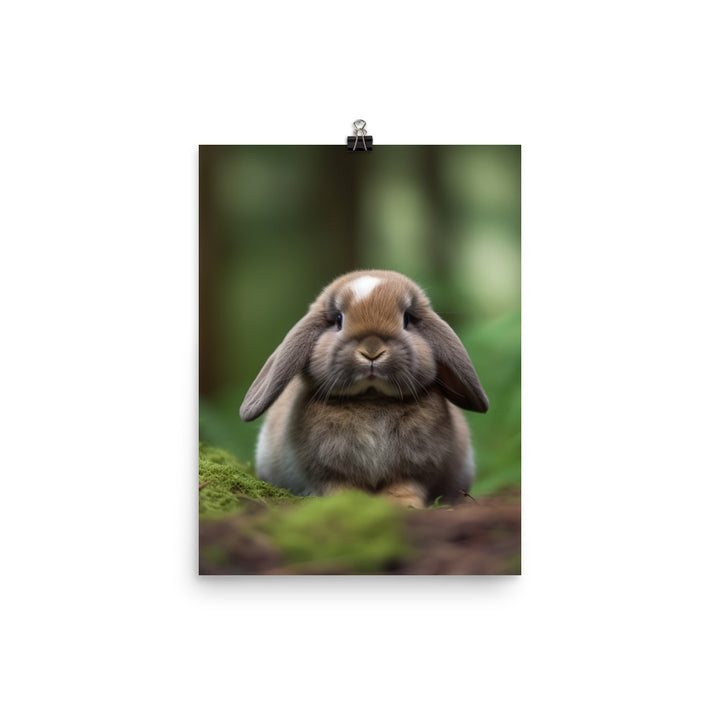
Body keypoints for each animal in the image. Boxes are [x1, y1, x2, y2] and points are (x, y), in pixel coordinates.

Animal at [239, 270, 489, 507]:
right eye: (338, 319)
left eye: (407, 319)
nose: (372, 350)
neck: (372, 399)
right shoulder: (327, 471)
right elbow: (341, 487)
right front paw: (348, 503)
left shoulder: (417, 466)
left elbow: (405, 486)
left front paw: (403, 504)